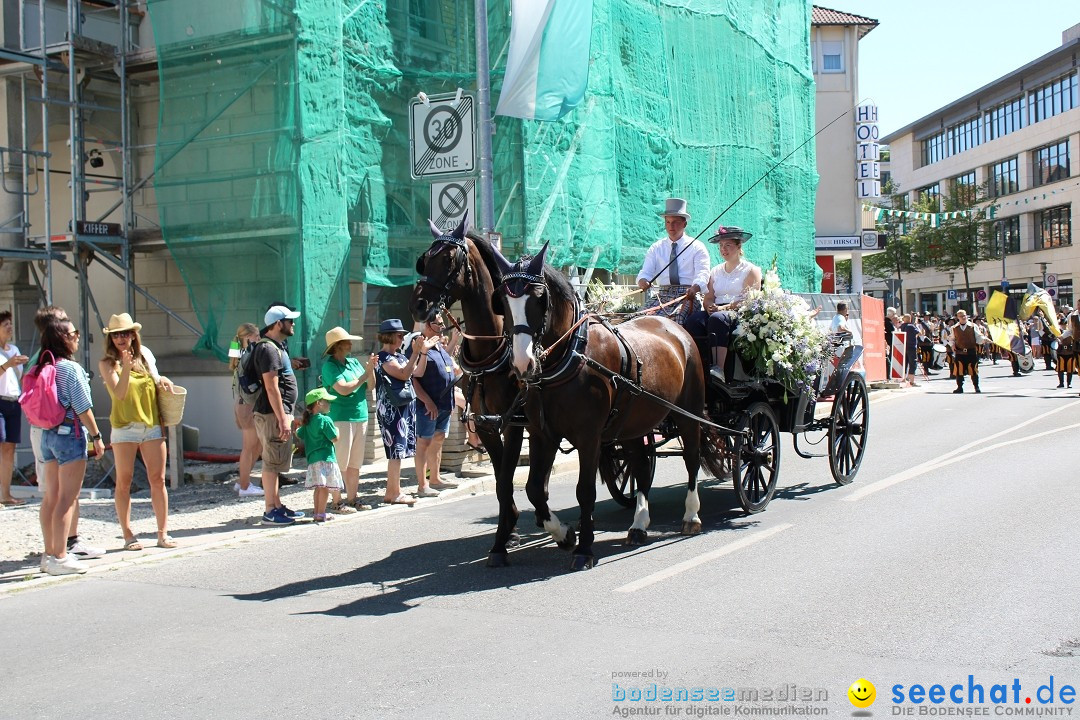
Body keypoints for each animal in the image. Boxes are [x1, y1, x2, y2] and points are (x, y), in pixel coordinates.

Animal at [492, 245, 725, 569]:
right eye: (502, 300)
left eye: (539, 297)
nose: (522, 363)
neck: (571, 356)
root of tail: (673, 324)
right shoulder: (542, 434)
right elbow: (535, 488)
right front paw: (565, 535)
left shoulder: (589, 436)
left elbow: (585, 491)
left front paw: (584, 550)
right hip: (632, 424)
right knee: (640, 466)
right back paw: (638, 525)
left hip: (687, 412)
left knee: (691, 458)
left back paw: (691, 515)